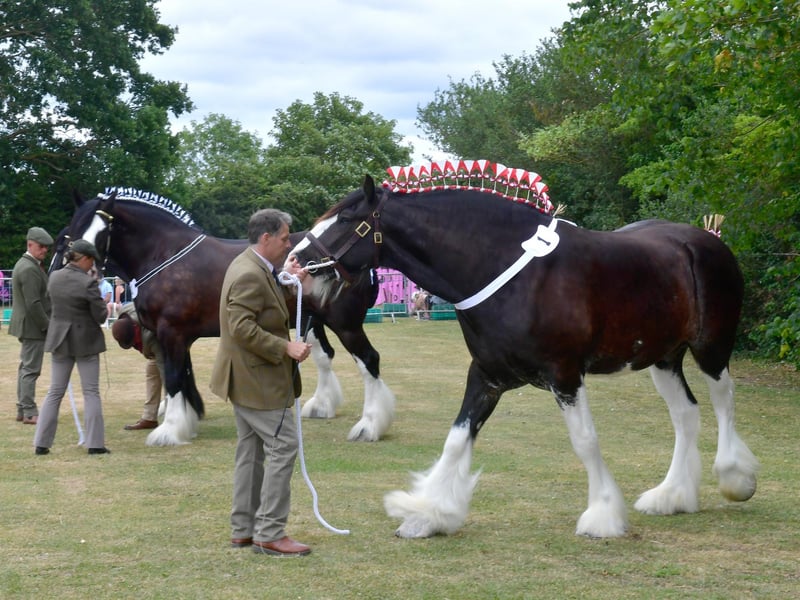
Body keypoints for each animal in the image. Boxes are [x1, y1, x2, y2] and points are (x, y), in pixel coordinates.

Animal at [62, 188, 396, 446]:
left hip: (345, 324)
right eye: (73, 232)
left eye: (102, 231)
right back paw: (321, 406)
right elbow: (180, 376)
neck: (165, 254)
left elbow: (174, 378)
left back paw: (371, 426)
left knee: (369, 360)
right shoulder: (173, 336)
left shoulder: (171, 331)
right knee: (325, 356)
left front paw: (169, 431)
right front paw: (186, 421)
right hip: (313, 321)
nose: (82, 270)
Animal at [292, 160, 760, 539]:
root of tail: (707, 239)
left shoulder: (565, 375)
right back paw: (672, 496)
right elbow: (456, 439)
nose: (295, 264)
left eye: (346, 217)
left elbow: (585, 441)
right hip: (662, 358)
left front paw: (603, 516)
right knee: (686, 414)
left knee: (724, 401)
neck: (510, 274)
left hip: (711, 349)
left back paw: (735, 478)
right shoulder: (487, 376)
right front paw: (429, 513)